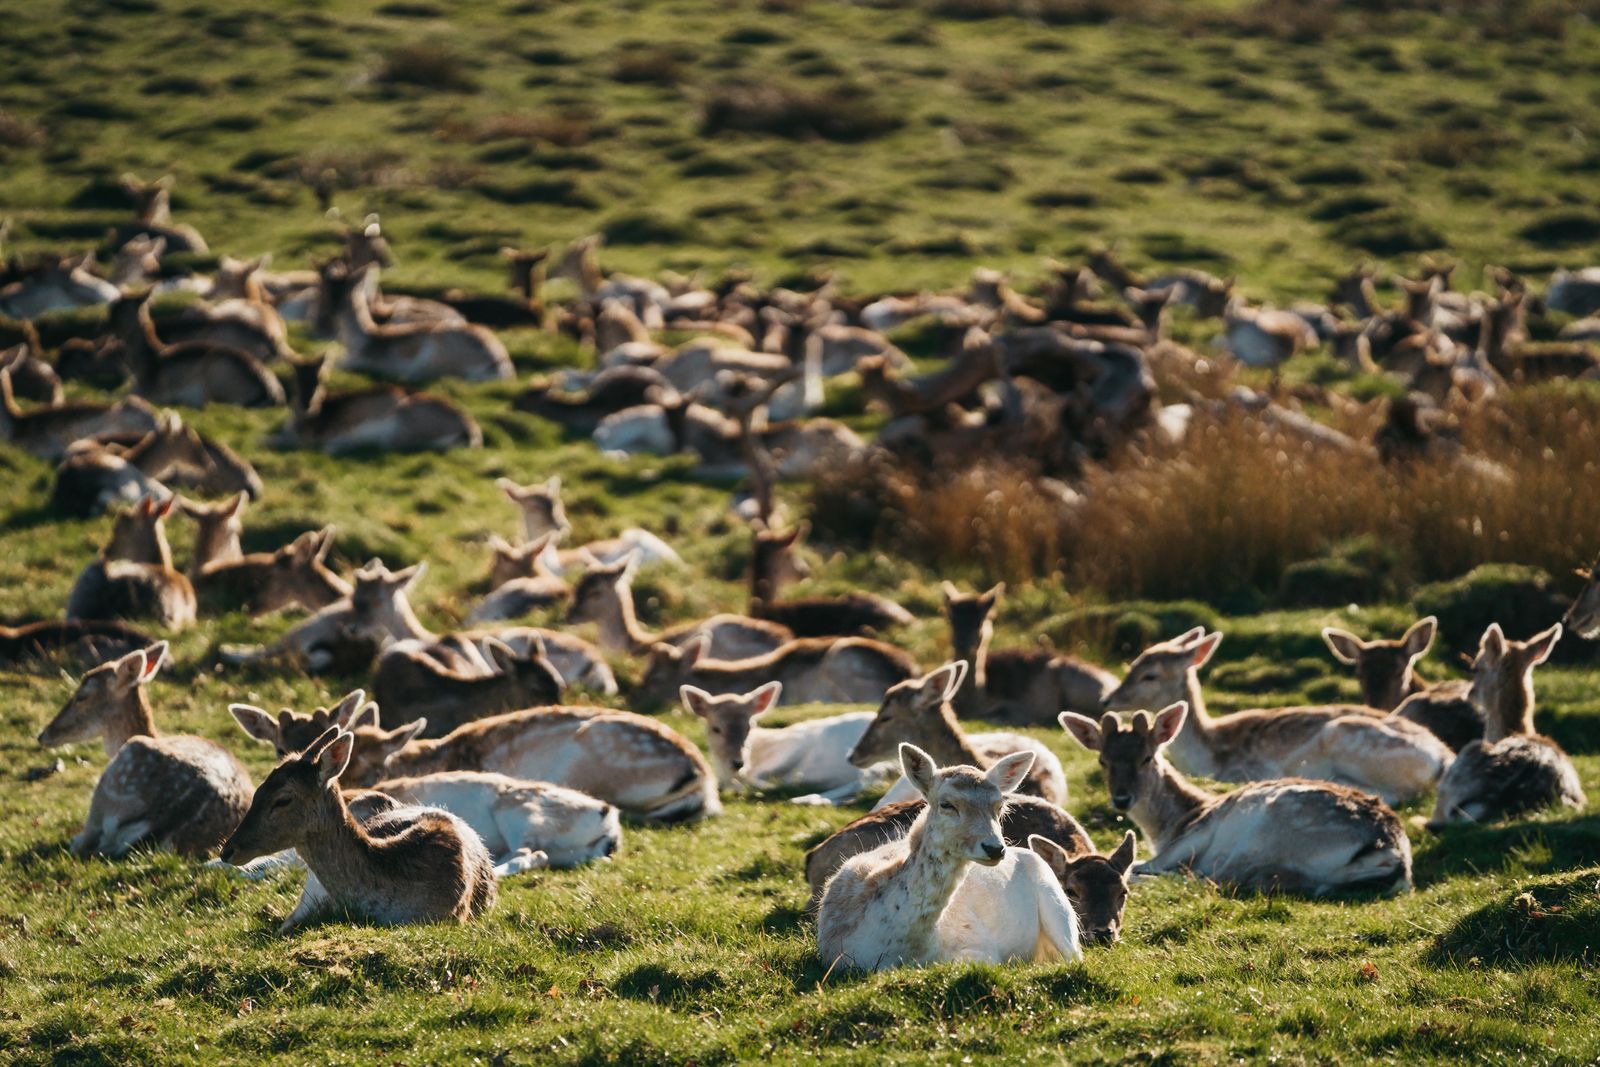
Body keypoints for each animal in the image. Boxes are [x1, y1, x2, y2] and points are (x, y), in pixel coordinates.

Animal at [273, 353, 482, 453]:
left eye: (321, 379)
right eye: (295, 380)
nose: (308, 404)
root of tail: (470, 431)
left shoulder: (309, 439)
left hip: (404, 417)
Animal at [320, 261, 512, 383]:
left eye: (347, 293)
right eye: (325, 289)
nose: (330, 313)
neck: (363, 338)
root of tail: (500, 366)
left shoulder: (358, 362)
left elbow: (336, 363)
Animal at [942, 581, 1115, 725]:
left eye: (981, 619)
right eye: (951, 619)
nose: (961, 643)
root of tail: (1113, 679)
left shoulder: (1016, 705)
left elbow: (999, 716)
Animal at [1060, 705, 1412, 895]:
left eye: (1147, 757)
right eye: (1103, 761)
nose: (1122, 798)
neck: (1174, 822)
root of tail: (1393, 852)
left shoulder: (1196, 832)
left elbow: (1146, 863)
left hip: (1268, 836)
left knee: (1218, 878)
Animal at [1103, 629, 1451, 806]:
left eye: (1149, 675)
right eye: (1133, 663)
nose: (1107, 699)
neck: (1208, 751)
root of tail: (1444, 756)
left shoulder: (1238, 770)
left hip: (1344, 735)